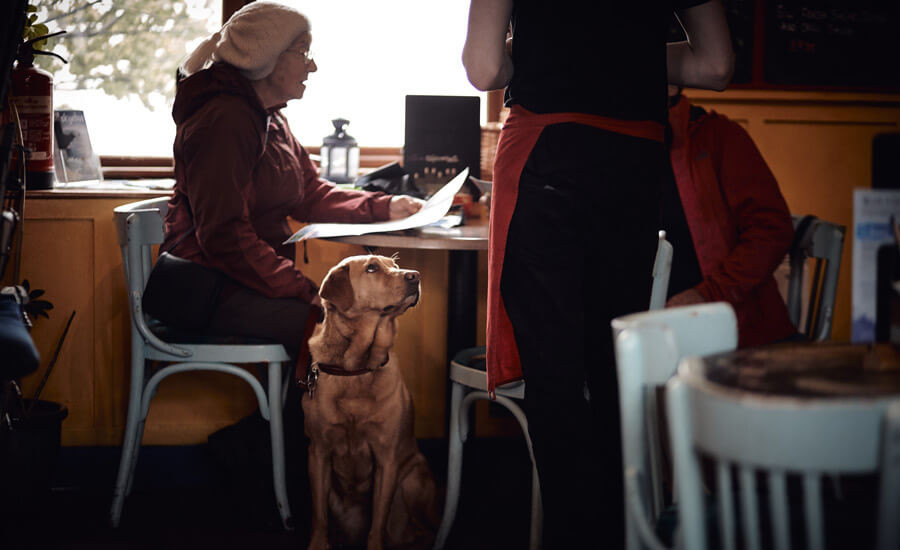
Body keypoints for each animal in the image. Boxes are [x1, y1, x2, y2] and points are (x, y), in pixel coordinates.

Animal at [302, 256, 440, 548]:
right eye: (372, 268)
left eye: (394, 265)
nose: (415, 275)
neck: (357, 368)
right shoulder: (318, 452)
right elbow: (319, 516)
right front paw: (318, 544)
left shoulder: (387, 458)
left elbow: (377, 521)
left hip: (413, 481)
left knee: (427, 528)